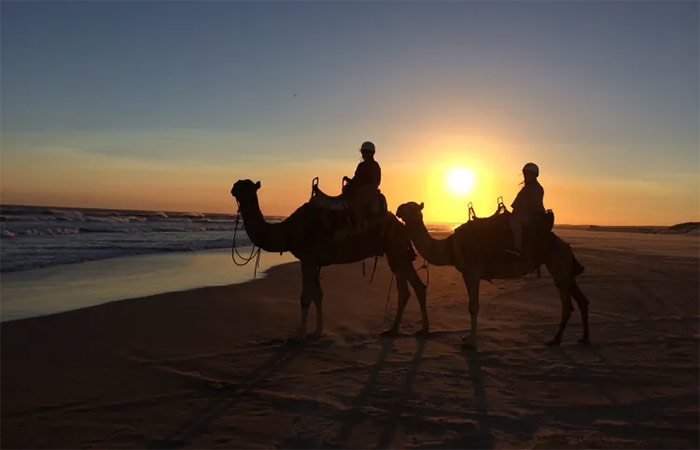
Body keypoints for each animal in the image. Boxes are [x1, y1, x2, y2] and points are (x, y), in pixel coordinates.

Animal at [231, 179, 426, 342]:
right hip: (397, 253)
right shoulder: (313, 260)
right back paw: (397, 330)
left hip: (396, 250)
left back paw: (417, 330)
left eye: (246, 186)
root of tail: (403, 226)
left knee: (412, 287)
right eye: (240, 184)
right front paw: (317, 332)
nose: (233, 188)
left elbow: (306, 297)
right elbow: (318, 295)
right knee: (410, 288)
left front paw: (298, 335)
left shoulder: (307, 258)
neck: (288, 231)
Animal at [396, 201, 588, 348]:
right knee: (580, 298)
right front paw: (468, 338)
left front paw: (471, 343)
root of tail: (566, 245)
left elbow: (473, 307)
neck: (449, 247)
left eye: (411, 207)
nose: (398, 208)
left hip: (558, 261)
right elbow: (472, 306)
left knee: (567, 304)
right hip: (564, 267)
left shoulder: (472, 271)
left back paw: (555, 340)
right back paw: (584, 338)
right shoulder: (466, 274)